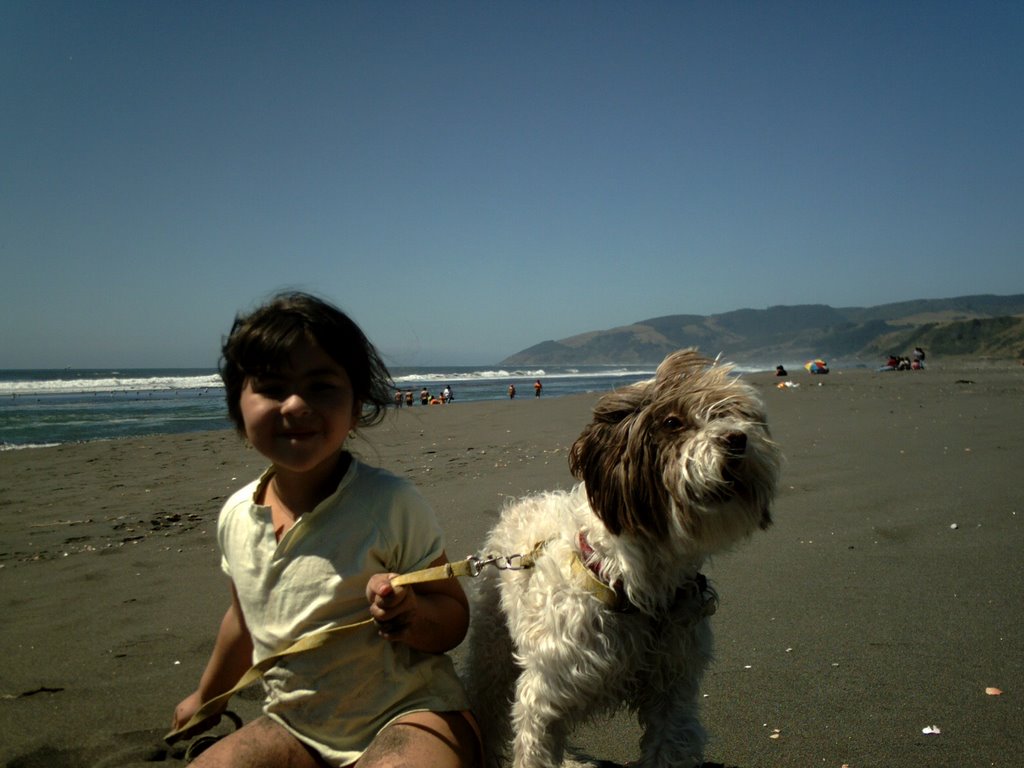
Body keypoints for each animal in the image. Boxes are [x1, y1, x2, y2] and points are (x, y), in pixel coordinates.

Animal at [464, 350, 782, 768]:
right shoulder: (545, 695)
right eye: (672, 422)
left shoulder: (673, 690)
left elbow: (669, 744)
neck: (630, 584)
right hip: (492, 646)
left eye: (731, 413)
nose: (737, 439)